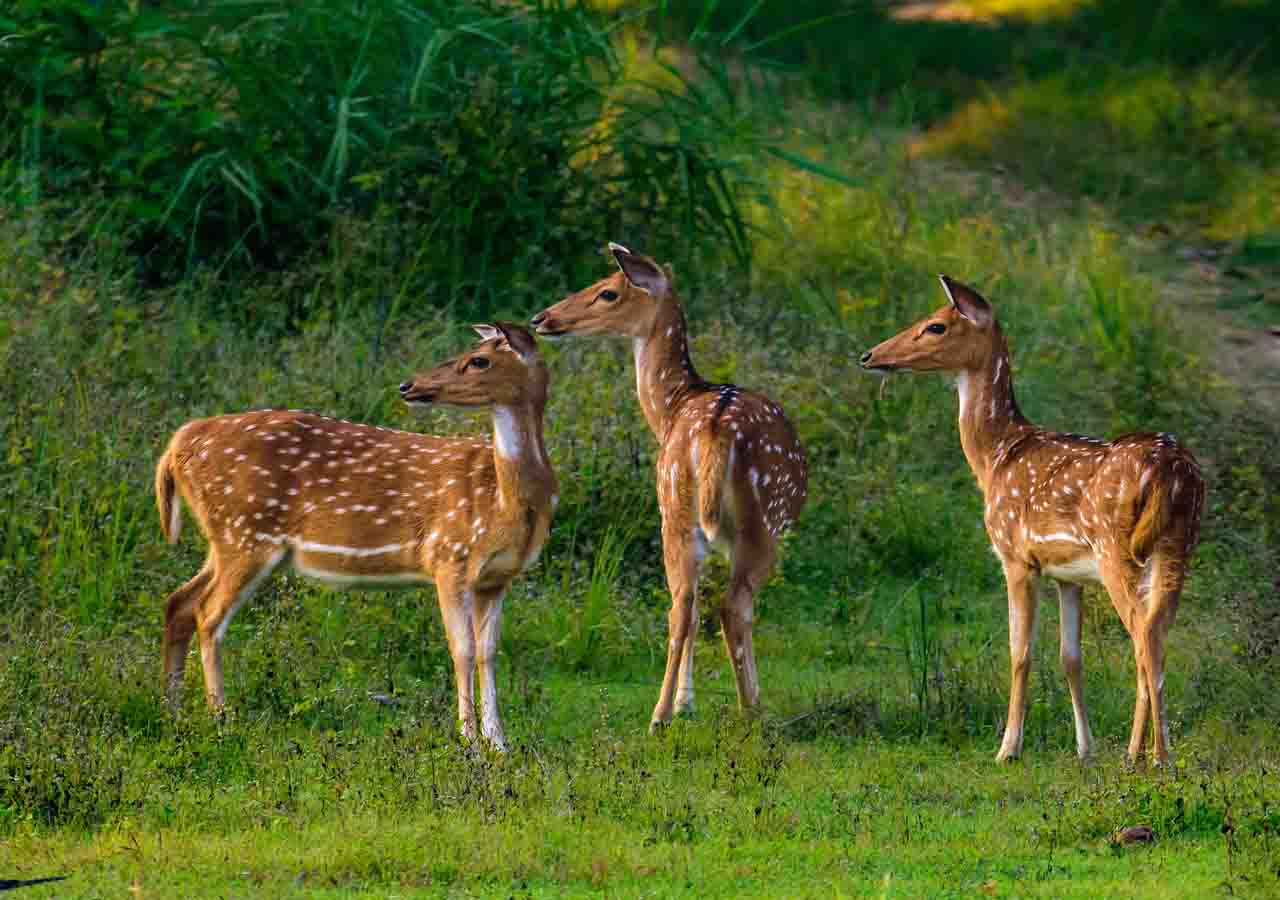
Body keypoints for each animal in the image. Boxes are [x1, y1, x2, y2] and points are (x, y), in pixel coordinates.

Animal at [152, 323, 552, 752]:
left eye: (479, 359)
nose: (408, 385)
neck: (507, 502)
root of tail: (176, 445)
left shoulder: (495, 578)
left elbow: (488, 653)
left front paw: (500, 744)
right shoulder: (449, 556)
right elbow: (462, 649)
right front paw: (470, 743)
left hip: (226, 538)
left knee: (178, 601)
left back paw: (172, 710)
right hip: (244, 531)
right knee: (208, 614)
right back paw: (221, 718)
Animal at [527, 244, 803, 732]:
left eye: (607, 291)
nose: (542, 318)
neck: (671, 407)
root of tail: (715, 429)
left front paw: (683, 704)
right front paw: (696, 701)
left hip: (675, 508)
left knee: (683, 606)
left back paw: (660, 715)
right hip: (761, 519)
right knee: (731, 606)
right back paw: (750, 710)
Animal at [860, 277, 1198, 763]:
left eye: (936, 325)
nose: (870, 355)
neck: (996, 458)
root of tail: (1173, 471)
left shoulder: (1016, 557)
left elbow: (1020, 653)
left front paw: (1007, 748)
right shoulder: (1069, 575)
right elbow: (1071, 658)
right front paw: (1084, 748)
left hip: (1117, 549)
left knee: (1143, 635)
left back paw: (1151, 756)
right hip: (1176, 546)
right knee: (1156, 634)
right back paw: (1141, 752)